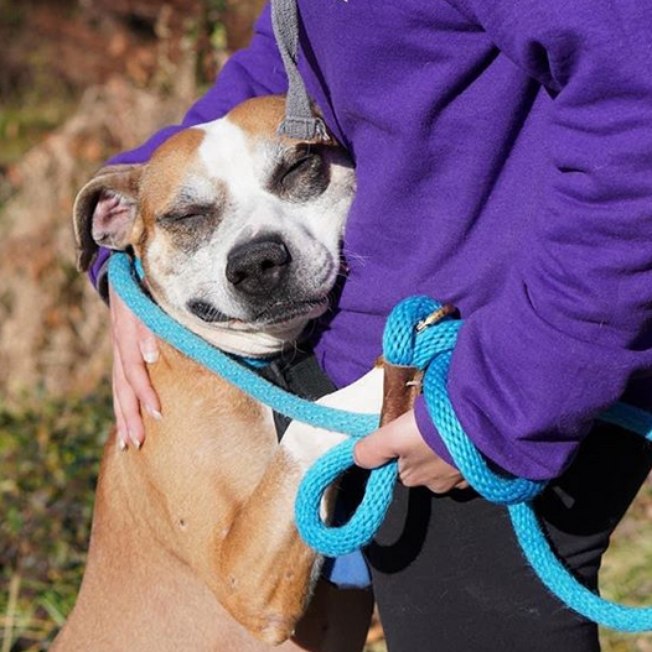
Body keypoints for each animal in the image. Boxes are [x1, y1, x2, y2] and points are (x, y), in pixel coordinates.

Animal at [54, 97, 388, 652]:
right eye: (186, 216)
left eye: (298, 167)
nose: (257, 262)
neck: (265, 366)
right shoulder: (242, 577)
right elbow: (314, 419)